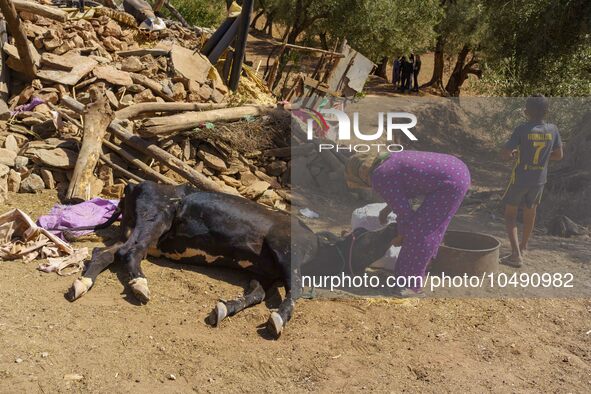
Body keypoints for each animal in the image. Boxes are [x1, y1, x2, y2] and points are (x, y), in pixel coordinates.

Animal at [67, 180, 398, 338]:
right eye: (367, 238)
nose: (394, 228)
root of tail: (136, 184)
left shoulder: (263, 273)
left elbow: (256, 294)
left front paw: (224, 308)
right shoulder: (286, 251)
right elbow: (295, 291)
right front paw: (278, 320)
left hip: (133, 227)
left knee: (104, 253)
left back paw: (81, 284)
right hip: (155, 218)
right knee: (129, 252)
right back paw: (140, 286)